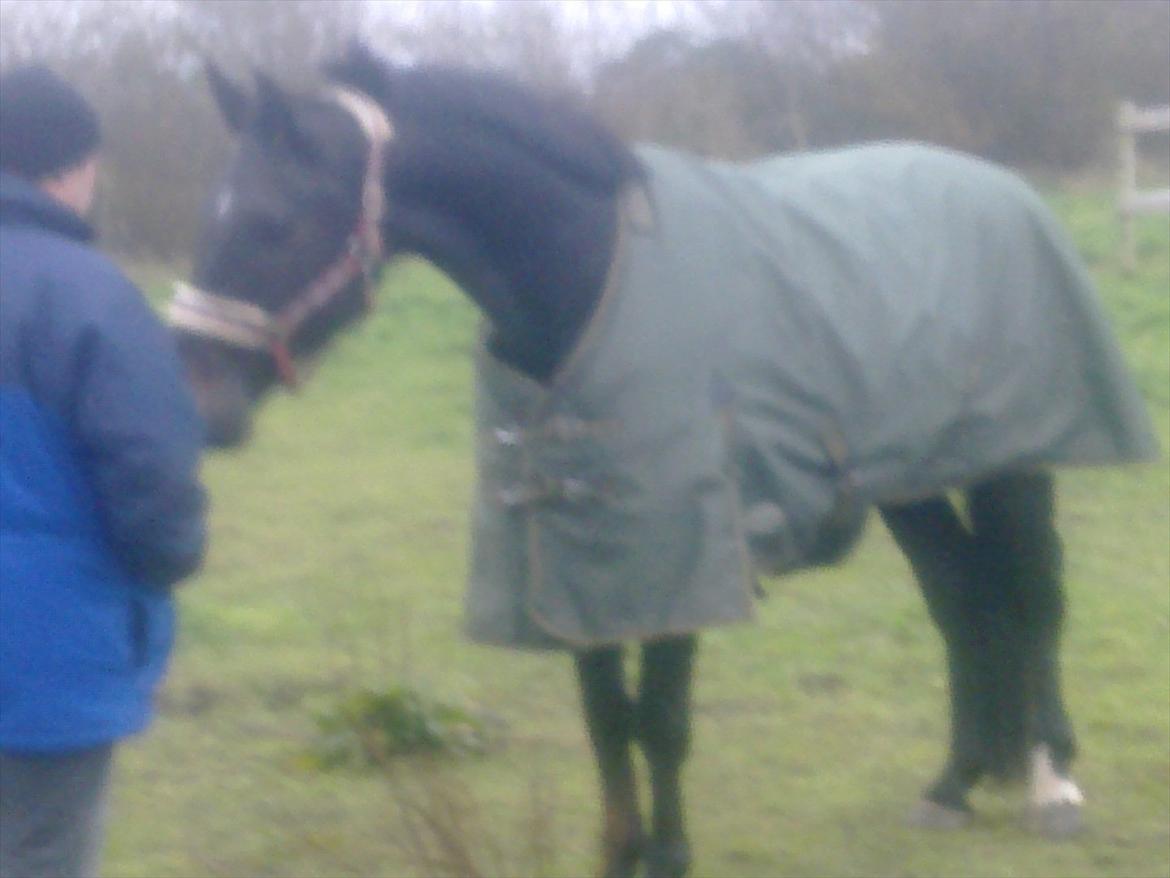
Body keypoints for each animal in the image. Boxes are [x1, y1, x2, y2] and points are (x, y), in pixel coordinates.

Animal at [173, 44, 1160, 875]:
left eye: (270, 220)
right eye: (208, 214)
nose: (199, 402)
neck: (587, 279)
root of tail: (1000, 187)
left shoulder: (683, 553)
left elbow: (662, 721)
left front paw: (670, 855)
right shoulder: (577, 561)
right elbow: (608, 723)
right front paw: (621, 855)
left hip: (1016, 463)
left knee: (1032, 601)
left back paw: (1051, 784)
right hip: (906, 478)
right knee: (962, 599)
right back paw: (954, 783)